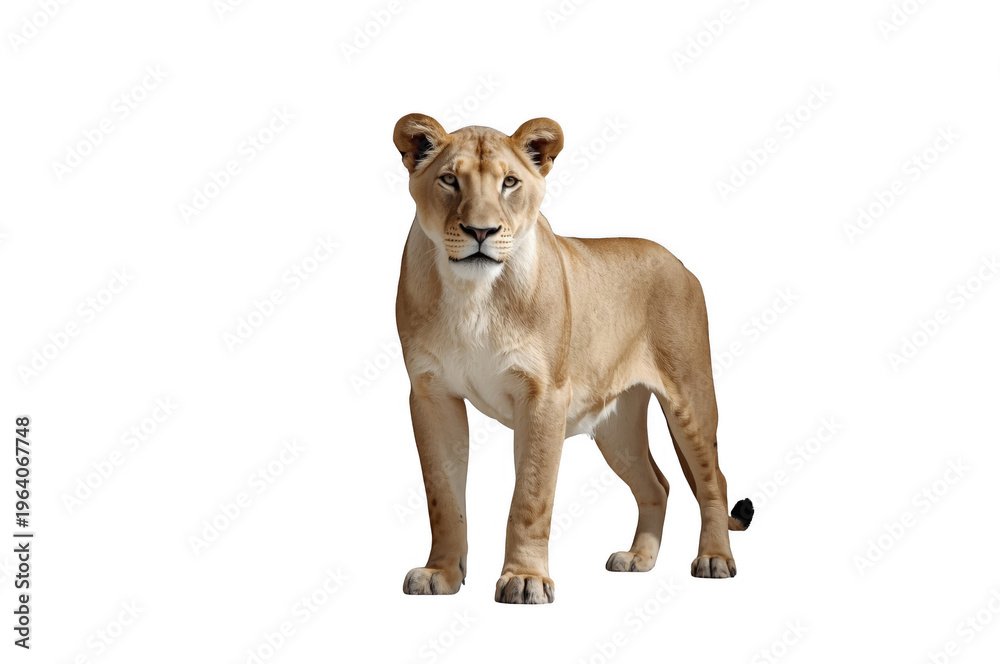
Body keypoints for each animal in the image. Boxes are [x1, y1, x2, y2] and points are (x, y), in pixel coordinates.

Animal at [393, 113, 753, 604]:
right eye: (450, 180)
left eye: (509, 182)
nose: (481, 232)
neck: (473, 294)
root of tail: (679, 262)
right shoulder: (431, 394)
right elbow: (443, 497)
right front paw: (441, 575)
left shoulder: (544, 395)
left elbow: (530, 495)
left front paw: (525, 579)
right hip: (617, 428)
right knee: (657, 484)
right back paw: (637, 559)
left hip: (691, 398)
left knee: (714, 480)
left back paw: (715, 559)